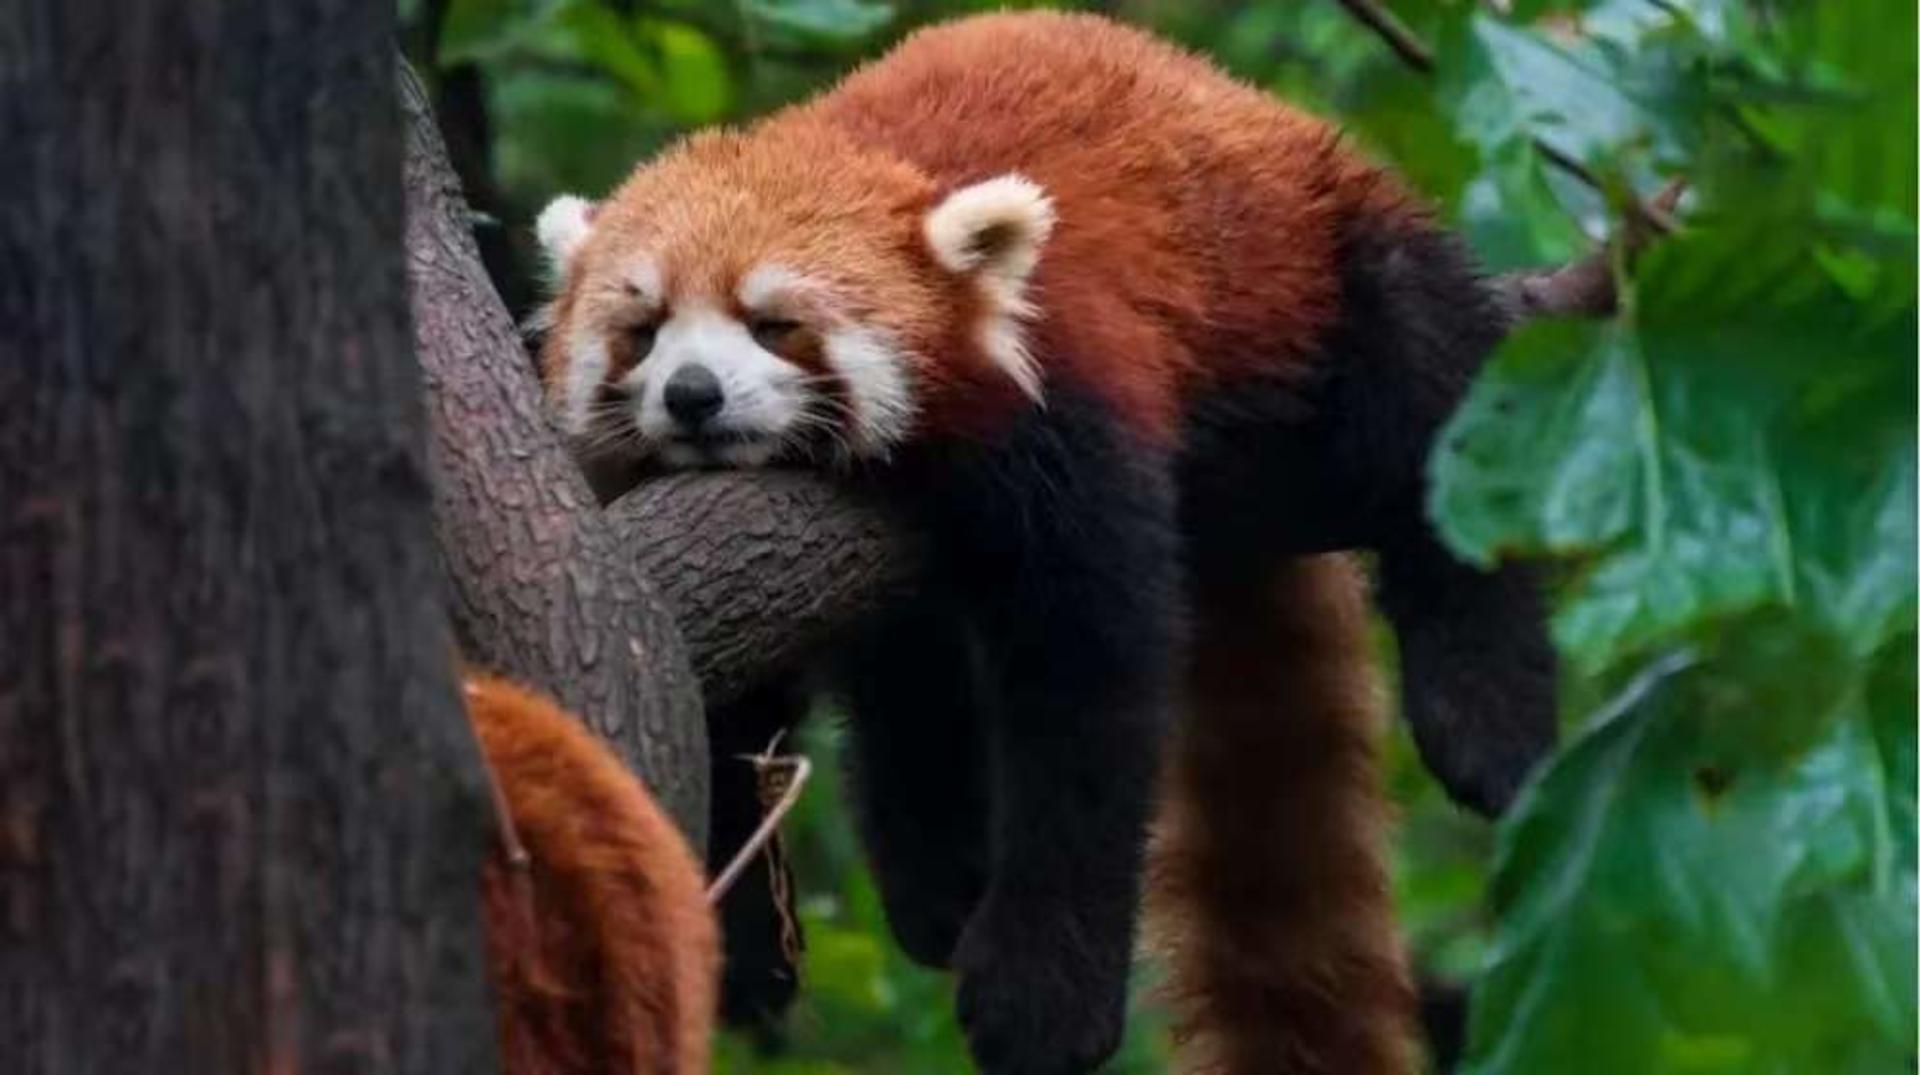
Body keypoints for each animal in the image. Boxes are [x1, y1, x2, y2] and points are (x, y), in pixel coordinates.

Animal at [531, 12, 1555, 1073]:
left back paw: (1485, 712)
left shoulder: (1068, 408)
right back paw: (934, 878)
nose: (691, 394)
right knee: (909, 680)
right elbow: (728, 705)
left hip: (1320, 251)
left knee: (1434, 400)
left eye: (773, 323)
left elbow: (1087, 696)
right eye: (644, 329)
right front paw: (737, 936)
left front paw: (1045, 993)